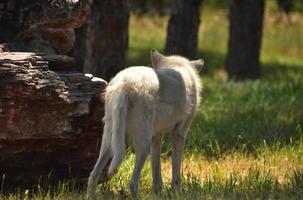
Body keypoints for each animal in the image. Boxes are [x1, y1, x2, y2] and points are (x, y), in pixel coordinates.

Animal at [86, 49, 203, 198]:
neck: (179, 68)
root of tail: (124, 84)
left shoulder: (157, 136)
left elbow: (156, 171)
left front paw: (158, 192)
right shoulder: (179, 134)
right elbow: (175, 172)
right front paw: (175, 192)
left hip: (109, 143)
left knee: (93, 175)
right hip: (142, 146)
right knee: (132, 183)